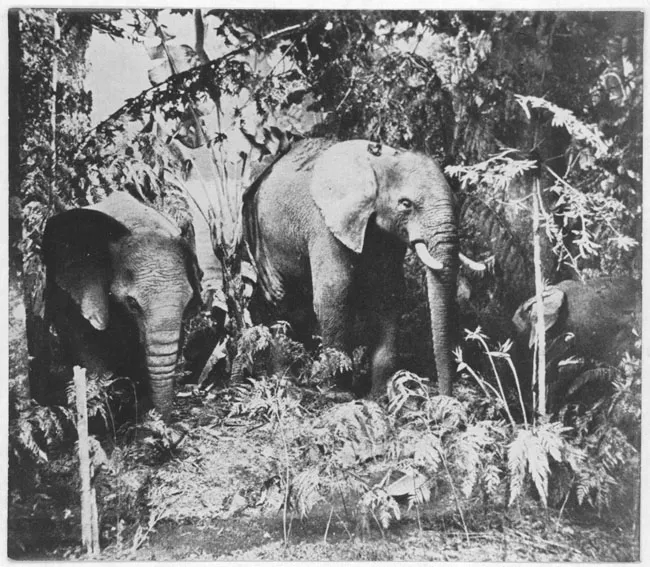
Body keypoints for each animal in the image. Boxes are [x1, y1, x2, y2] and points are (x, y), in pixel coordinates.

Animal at [242, 138, 480, 398]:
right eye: (405, 204)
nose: (444, 397)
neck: (377, 162)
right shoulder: (325, 223)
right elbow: (334, 292)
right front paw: (339, 395)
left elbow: (389, 294)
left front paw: (381, 396)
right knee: (280, 300)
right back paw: (284, 383)